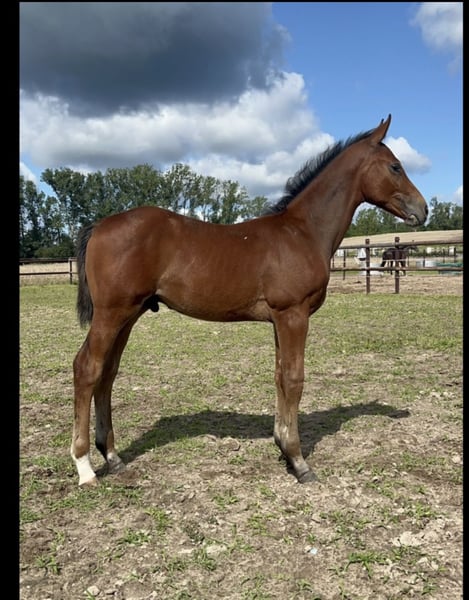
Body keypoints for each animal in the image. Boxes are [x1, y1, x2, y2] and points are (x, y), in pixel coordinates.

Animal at [71, 115, 428, 487]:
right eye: (395, 166)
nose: (423, 209)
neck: (302, 232)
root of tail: (99, 225)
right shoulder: (293, 314)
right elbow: (294, 378)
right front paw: (299, 461)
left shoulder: (280, 320)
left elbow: (279, 375)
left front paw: (283, 447)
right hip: (112, 313)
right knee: (87, 367)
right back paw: (84, 467)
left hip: (129, 314)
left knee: (107, 372)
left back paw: (112, 457)